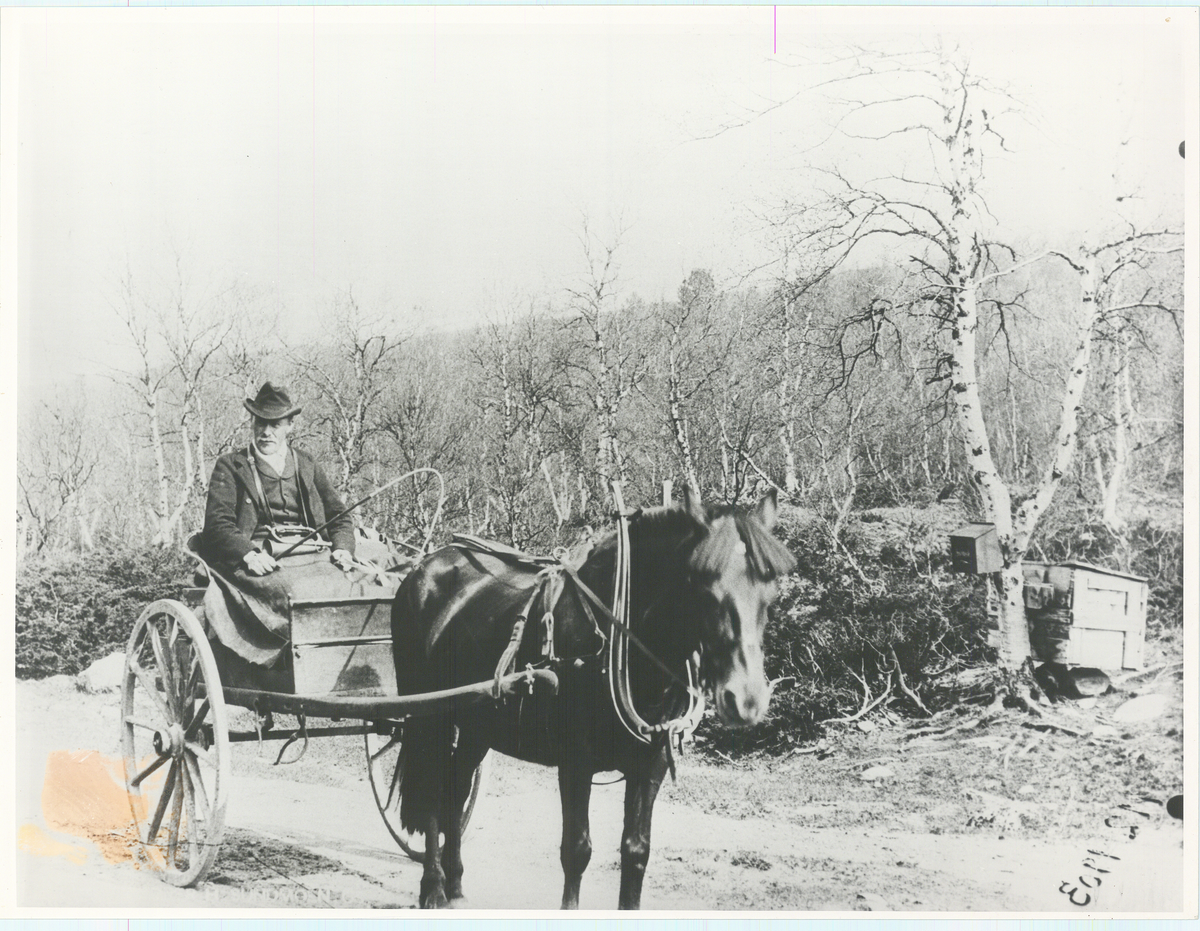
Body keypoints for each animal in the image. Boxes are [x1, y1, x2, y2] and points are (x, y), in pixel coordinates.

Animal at [388, 487, 792, 907]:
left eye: (771, 594)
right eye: (703, 587)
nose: (746, 699)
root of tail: (424, 566)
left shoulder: (650, 763)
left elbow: (636, 851)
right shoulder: (575, 761)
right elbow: (577, 850)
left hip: (476, 724)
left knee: (456, 788)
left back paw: (454, 882)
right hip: (428, 715)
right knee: (432, 789)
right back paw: (433, 886)